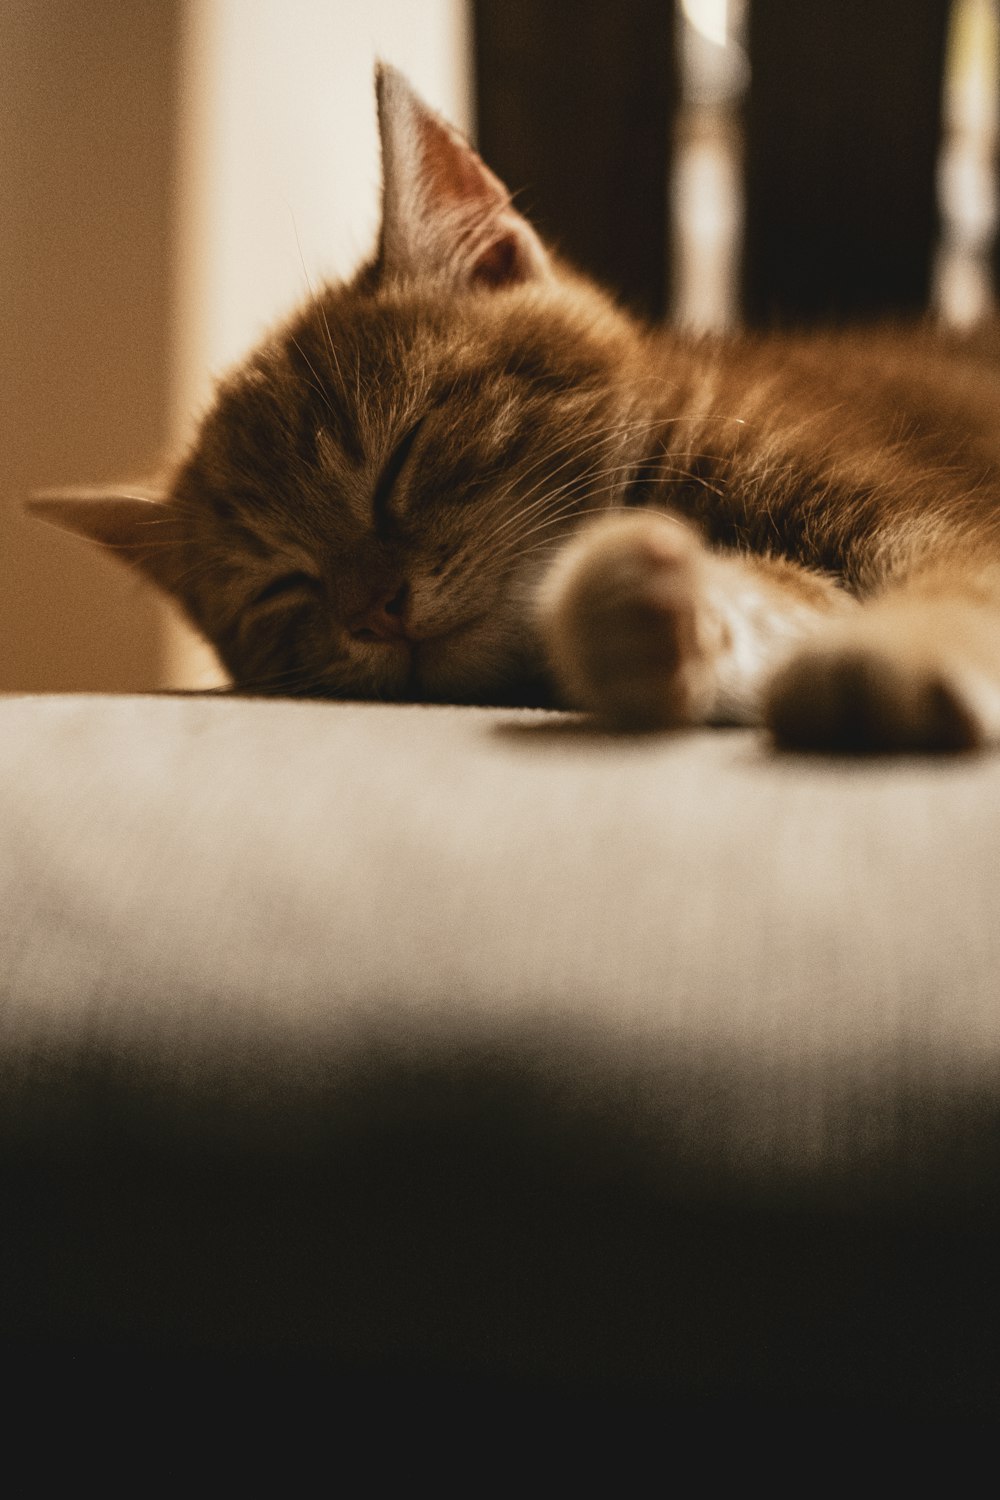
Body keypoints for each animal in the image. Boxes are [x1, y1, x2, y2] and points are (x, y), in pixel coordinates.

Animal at [35, 61, 1000, 750]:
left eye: (401, 457)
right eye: (281, 583)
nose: (373, 612)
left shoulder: (940, 516)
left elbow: (961, 581)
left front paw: (896, 652)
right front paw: (651, 615)